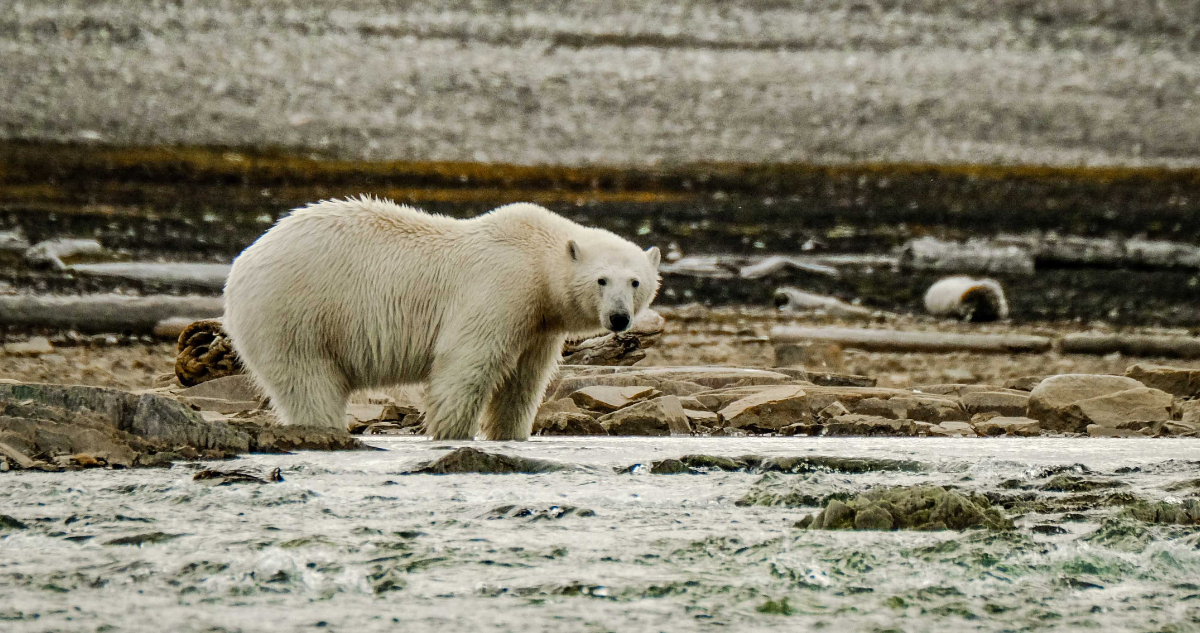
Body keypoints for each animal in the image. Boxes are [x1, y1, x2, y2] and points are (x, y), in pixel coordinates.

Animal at [222, 196, 661, 441]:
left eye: (635, 281)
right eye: (602, 280)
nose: (619, 318)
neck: (537, 259)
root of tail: (244, 260)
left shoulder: (538, 323)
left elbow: (523, 381)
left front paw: (511, 434)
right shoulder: (500, 289)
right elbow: (466, 364)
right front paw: (452, 433)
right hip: (294, 311)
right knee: (308, 380)